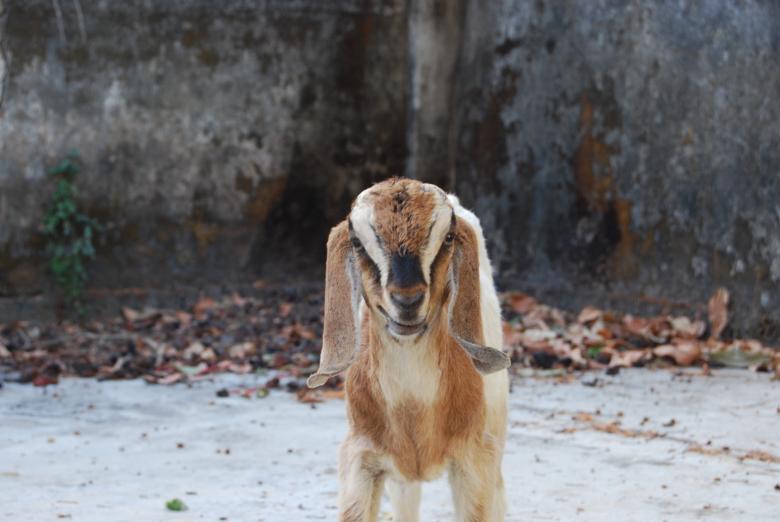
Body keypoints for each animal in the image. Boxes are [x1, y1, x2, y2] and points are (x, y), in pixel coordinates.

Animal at [307, 178, 510, 522]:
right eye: (358, 242)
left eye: (448, 237)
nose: (407, 300)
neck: (414, 412)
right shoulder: (360, 457)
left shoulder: (475, 461)